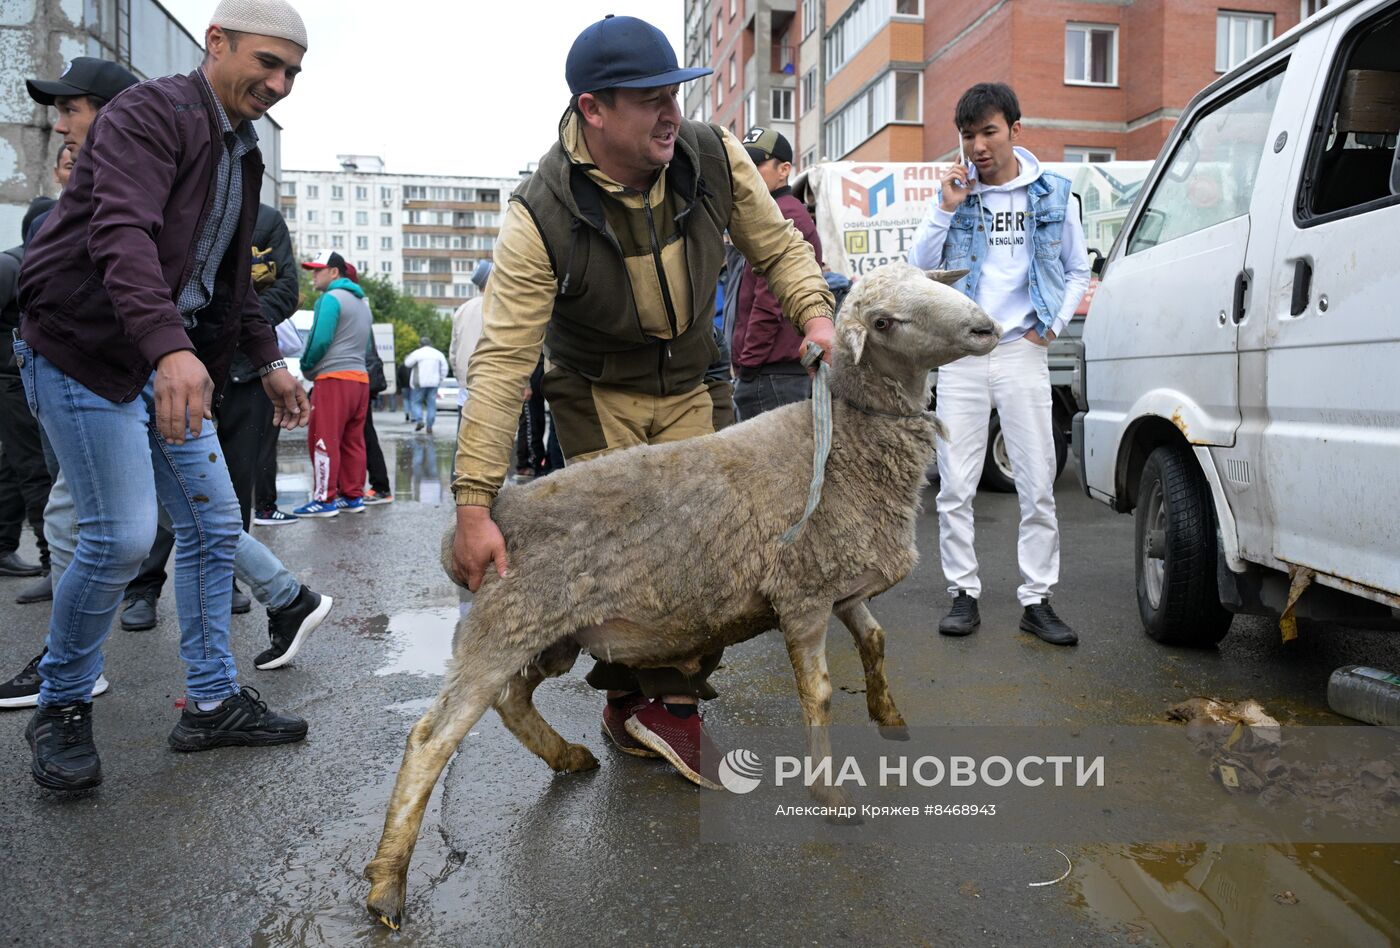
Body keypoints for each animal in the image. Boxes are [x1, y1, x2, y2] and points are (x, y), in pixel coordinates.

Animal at [361, 261, 996, 929]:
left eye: (931, 281)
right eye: (883, 322)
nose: (986, 328)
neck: (841, 439)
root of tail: (495, 512)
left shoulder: (841, 583)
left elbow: (875, 640)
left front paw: (889, 716)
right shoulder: (801, 592)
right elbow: (819, 695)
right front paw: (830, 792)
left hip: (550, 633)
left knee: (512, 700)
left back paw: (567, 757)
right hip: (506, 625)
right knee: (431, 740)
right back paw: (387, 885)